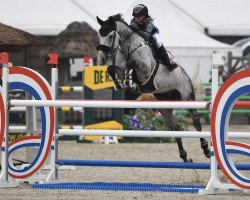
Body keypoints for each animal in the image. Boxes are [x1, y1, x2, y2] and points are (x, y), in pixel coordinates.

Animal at [96, 13, 210, 162]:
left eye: (110, 36)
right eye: (99, 34)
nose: (101, 59)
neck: (128, 46)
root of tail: (185, 73)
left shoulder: (145, 70)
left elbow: (132, 63)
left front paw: (131, 80)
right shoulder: (119, 69)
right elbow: (112, 68)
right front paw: (121, 83)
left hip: (187, 98)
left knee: (196, 122)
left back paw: (206, 149)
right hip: (164, 105)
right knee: (174, 127)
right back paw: (184, 156)